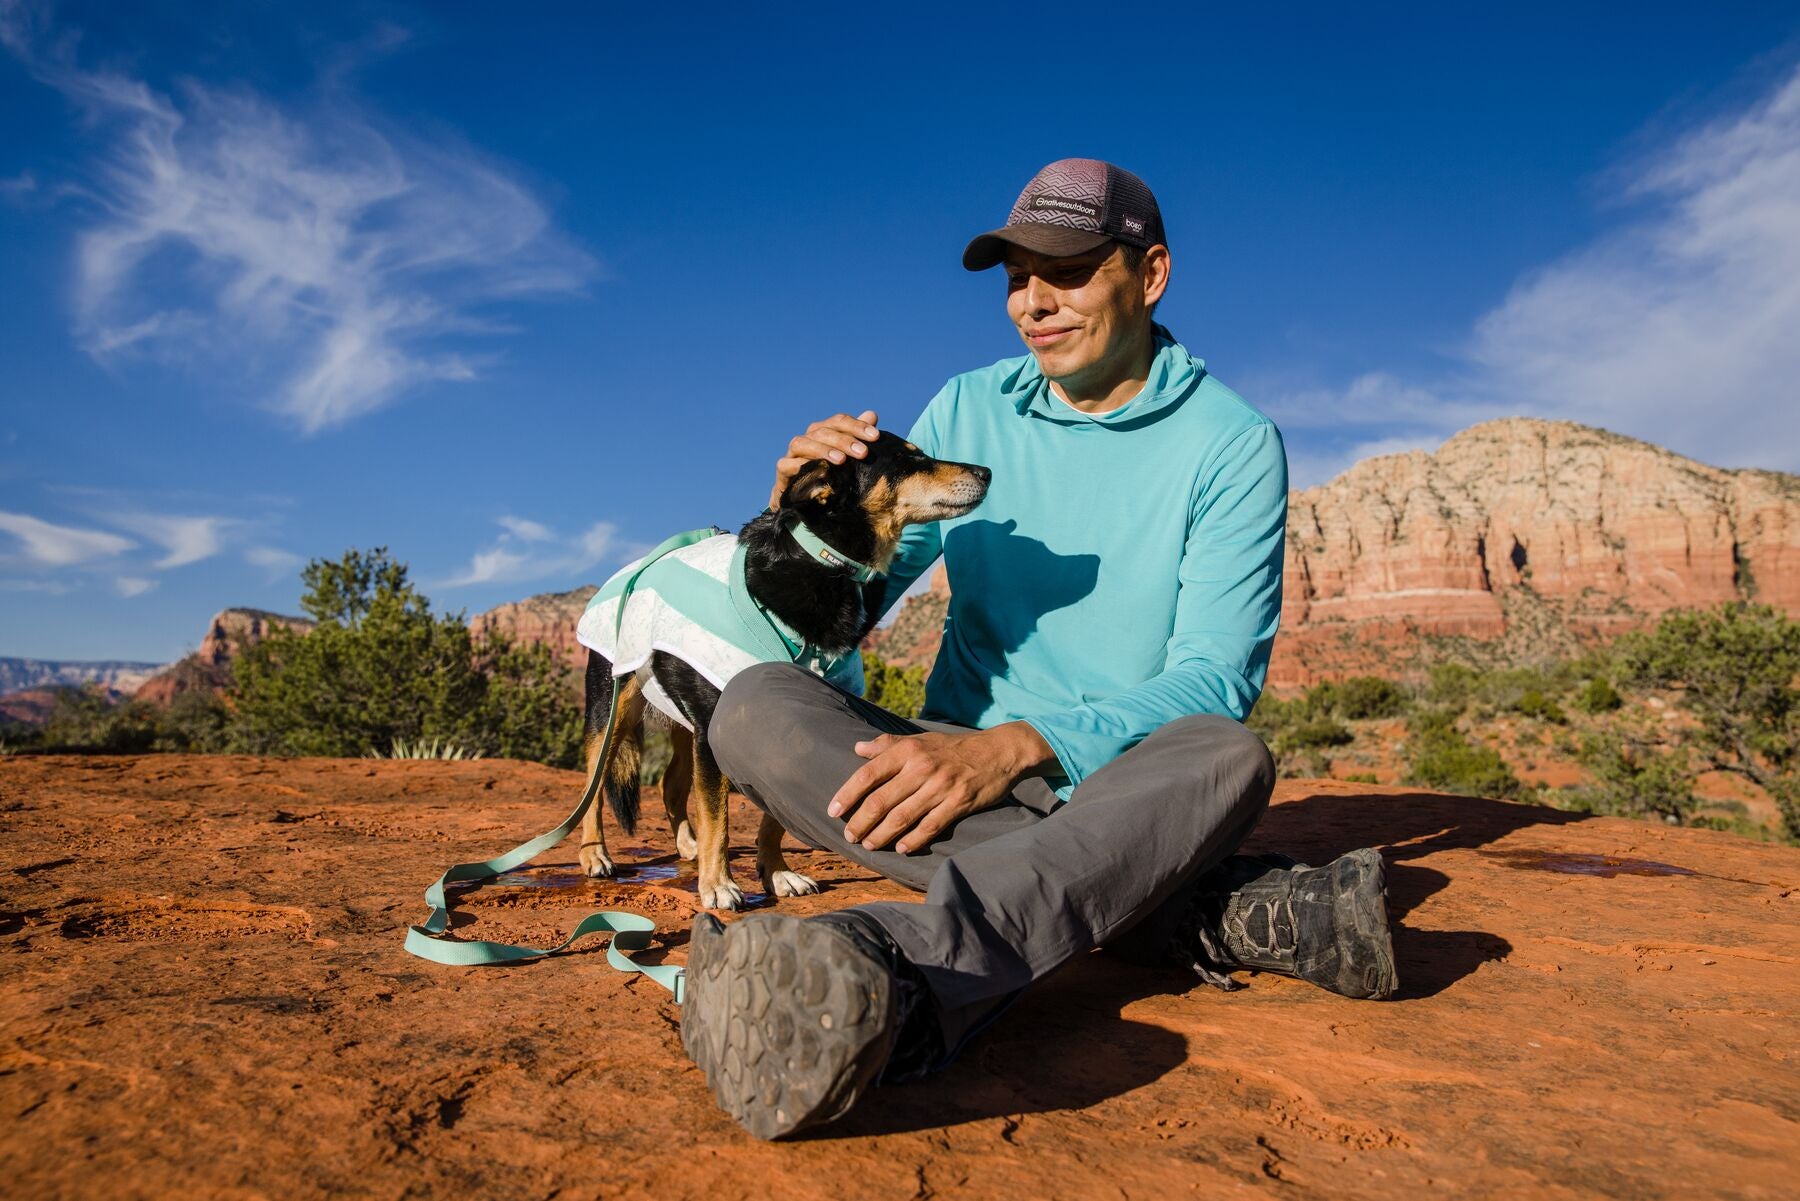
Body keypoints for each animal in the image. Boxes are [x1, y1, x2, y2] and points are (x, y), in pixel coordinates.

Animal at [572, 433, 993, 911]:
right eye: (908, 459)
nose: (986, 472)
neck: (825, 560)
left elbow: (774, 817)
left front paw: (776, 874)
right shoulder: (719, 724)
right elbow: (717, 818)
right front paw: (718, 885)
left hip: (683, 719)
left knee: (669, 786)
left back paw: (687, 846)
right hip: (612, 708)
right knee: (592, 787)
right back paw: (595, 855)